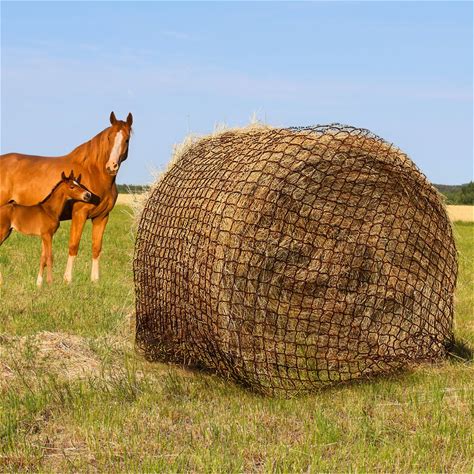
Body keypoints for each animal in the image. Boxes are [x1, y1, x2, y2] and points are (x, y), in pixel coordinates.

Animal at [0, 112, 133, 283]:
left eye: (127, 139)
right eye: (109, 138)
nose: (111, 166)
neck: (94, 172)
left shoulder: (102, 217)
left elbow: (96, 247)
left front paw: (95, 281)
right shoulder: (79, 214)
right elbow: (73, 245)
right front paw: (67, 279)